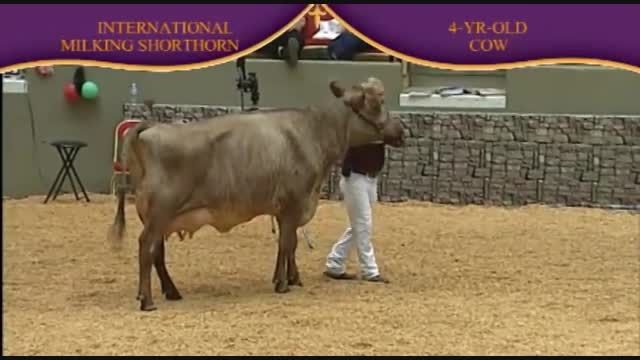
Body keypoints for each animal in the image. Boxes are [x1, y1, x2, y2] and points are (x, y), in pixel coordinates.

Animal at [107, 76, 402, 310]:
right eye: (377, 103)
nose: (401, 130)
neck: (314, 132)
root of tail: (152, 127)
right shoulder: (294, 202)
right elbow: (287, 243)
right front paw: (283, 284)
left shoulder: (287, 209)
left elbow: (290, 243)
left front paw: (290, 278)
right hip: (160, 211)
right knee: (146, 247)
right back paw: (148, 300)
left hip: (157, 215)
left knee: (157, 251)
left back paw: (171, 292)